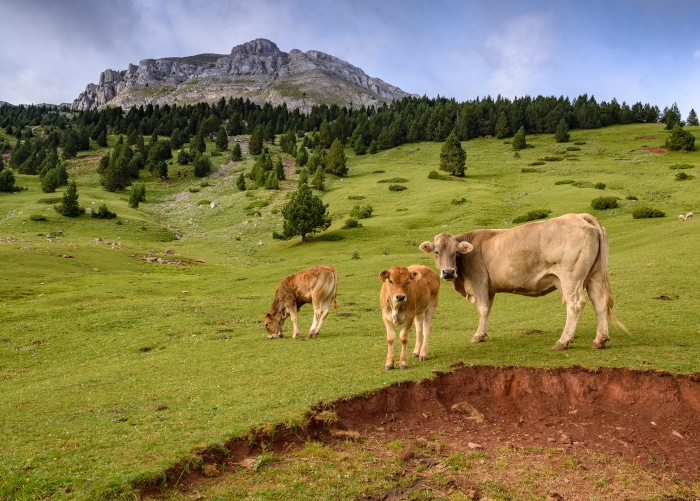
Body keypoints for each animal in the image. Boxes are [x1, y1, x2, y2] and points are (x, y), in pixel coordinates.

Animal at [422, 213, 628, 350]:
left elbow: (482, 309)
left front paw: (478, 335)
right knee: (600, 303)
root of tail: (580, 216)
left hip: (572, 277)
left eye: (455, 253)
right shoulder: (489, 288)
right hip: (595, 275)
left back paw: (563, 341)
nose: (448, 272)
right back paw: (600, 340)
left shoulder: (479, 281)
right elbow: (487, 309)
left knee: (575, 304)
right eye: (436, 252)